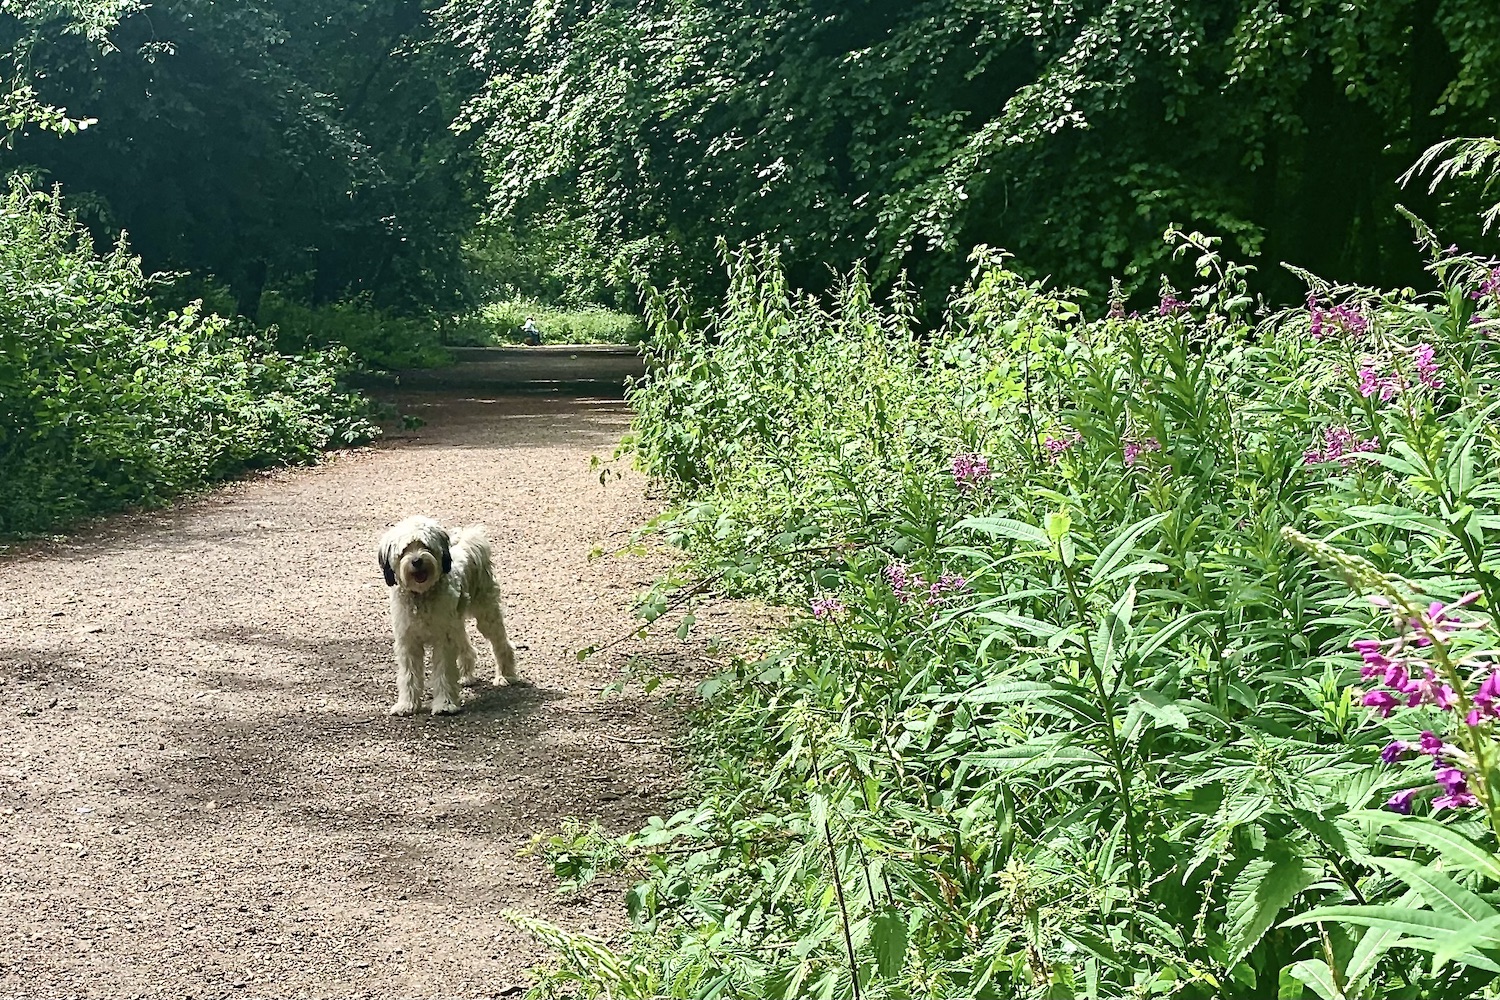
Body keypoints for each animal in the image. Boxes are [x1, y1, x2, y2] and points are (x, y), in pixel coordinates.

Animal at [375, 515, 528, 710]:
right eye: (405, 550)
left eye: (425, 546)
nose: (417, 561)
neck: (422, 596)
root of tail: (467, 545)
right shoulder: (408, 642)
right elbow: (409, 676)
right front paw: (407, 705)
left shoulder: (443, 639)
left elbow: (444, 673)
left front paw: (445, 704)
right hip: (456, 623)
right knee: (467, 647)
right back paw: (466, 676)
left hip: (486, 615)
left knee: (502, 644)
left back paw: (505, 675)